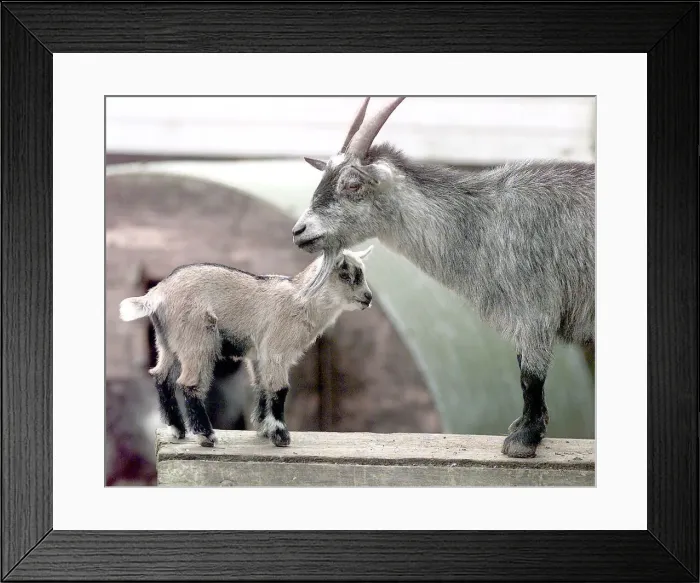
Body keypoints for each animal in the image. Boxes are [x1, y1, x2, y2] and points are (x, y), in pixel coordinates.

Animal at [118, 247, 375, 447]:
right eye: (345, 274)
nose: (368, 297)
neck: (301, 299)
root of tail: (156, 294)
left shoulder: (259, 355)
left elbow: (262, 387)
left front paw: (264, 429)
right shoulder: (275, 351)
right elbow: (280, 389)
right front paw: (280, 435)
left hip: (166, 342)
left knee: (161, 377)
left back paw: (178, 429)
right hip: (197, 339)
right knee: (188, 383)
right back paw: (205, 435)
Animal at [292, 97, 595, 458]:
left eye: (353, 184)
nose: (299, 231)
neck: (483, 221)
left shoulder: (534, 304)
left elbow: (530, 375)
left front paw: (524, 440)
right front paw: (525, 427)